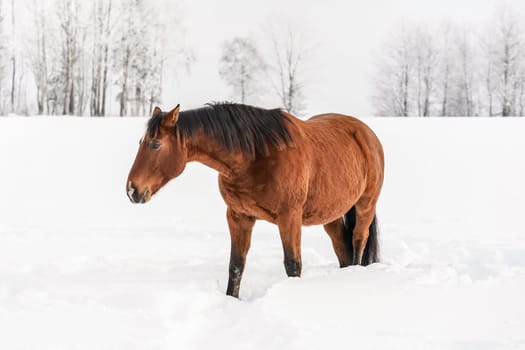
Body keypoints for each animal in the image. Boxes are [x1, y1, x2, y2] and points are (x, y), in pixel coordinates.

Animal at [125, 102, 382, 296]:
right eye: (140, 143)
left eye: (155, 144)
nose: (132, 190)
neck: (257, 155)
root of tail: (366, 133)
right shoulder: (239, 216)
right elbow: (236, 266)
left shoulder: (289, 217)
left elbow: (293, 265)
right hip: (330, 215)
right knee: (341, 246)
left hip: (365, 205)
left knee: (358, 240)